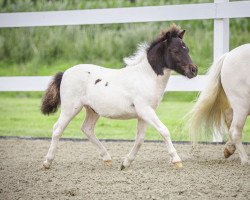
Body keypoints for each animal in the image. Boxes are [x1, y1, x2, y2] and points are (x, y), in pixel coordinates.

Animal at [41, 24, 197, 169]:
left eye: (187, 49)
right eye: (175, 50)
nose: (194, 70)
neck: (146, 77)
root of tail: (64, 73)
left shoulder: (143, 114)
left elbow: (140, 138)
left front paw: (125, 163)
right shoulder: (145, 110)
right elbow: (164, 131)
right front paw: (176, 160)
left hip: (92, 110)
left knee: (87, 129)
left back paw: (107, 158)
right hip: (70, 108)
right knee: (57, 129)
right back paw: (47, 162)